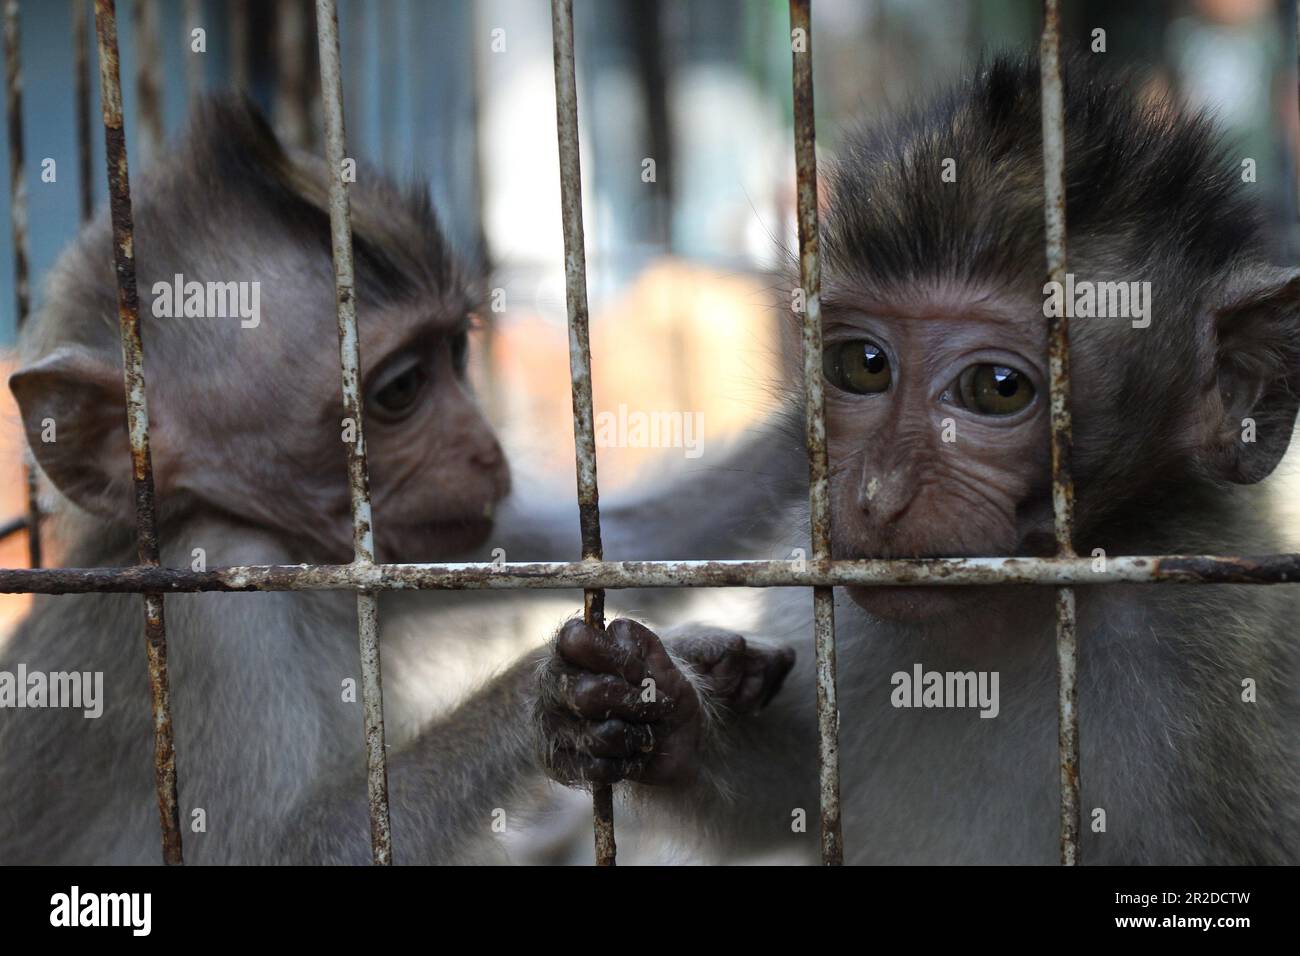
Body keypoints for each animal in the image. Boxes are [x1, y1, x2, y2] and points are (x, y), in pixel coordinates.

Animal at [0, 98, 790, 868]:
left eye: (457, 351)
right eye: (401, 389)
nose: (485, 449)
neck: (282, 548)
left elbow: (637, 539)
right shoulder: (213, 604)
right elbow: (264, 851)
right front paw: (558, 698)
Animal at [535, 57, 1300, 868]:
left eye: (997, 388)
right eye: (862, 365)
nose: (879, 496)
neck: (1002, 619)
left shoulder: (1199, 660)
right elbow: (792, 794)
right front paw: (640, 707)